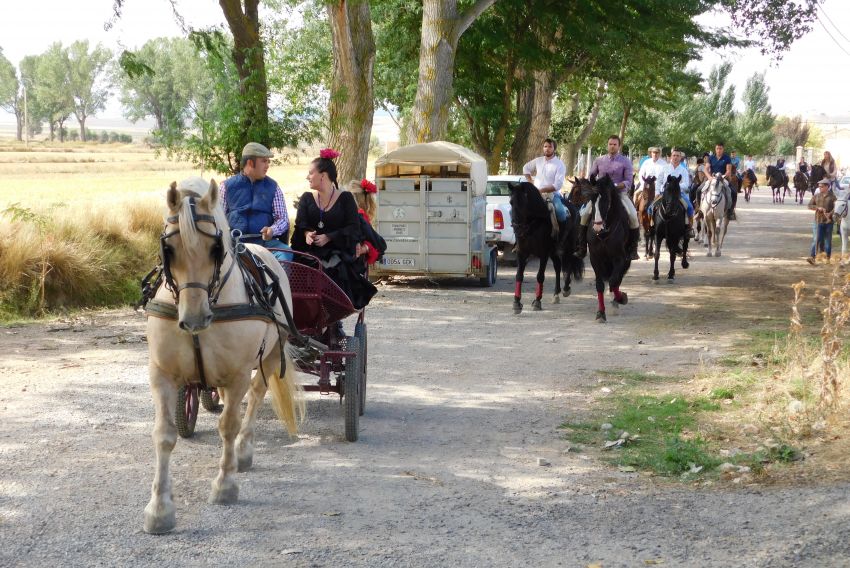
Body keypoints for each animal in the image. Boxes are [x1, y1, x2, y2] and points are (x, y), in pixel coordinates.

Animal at [142, 176, 304, 532]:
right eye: (168, 249)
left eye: (215, 249)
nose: (195, 319)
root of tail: (260, 247)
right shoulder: (162, 373)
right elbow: (164, 435)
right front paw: (159, 509)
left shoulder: (238, 374)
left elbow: (229, 425)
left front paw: (225, 486)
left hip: (271, 354)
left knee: (256, 396)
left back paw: (243, 451)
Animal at [506, 182, 580, 312]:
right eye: (511, 202)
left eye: (523, 202)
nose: (516, 225)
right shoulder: (522, 253)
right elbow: (519, 275)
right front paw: (517, 302)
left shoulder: (543, 254)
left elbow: (540, 276)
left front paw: (537, 301)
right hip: (553, 251)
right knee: (557, 266)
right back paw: (556, 294)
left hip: (568, 246)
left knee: (569, 263)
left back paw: (566, 289)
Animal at [572, 175, 628, 322]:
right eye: (592, 200)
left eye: (607, 200)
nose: (597, 226)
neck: (604, 233)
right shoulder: (595, 258)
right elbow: (600, 285)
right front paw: (601, 313)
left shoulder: (619, 258)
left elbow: (614, 281)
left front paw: (621, 298)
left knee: (617, 280)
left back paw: (616, 302)